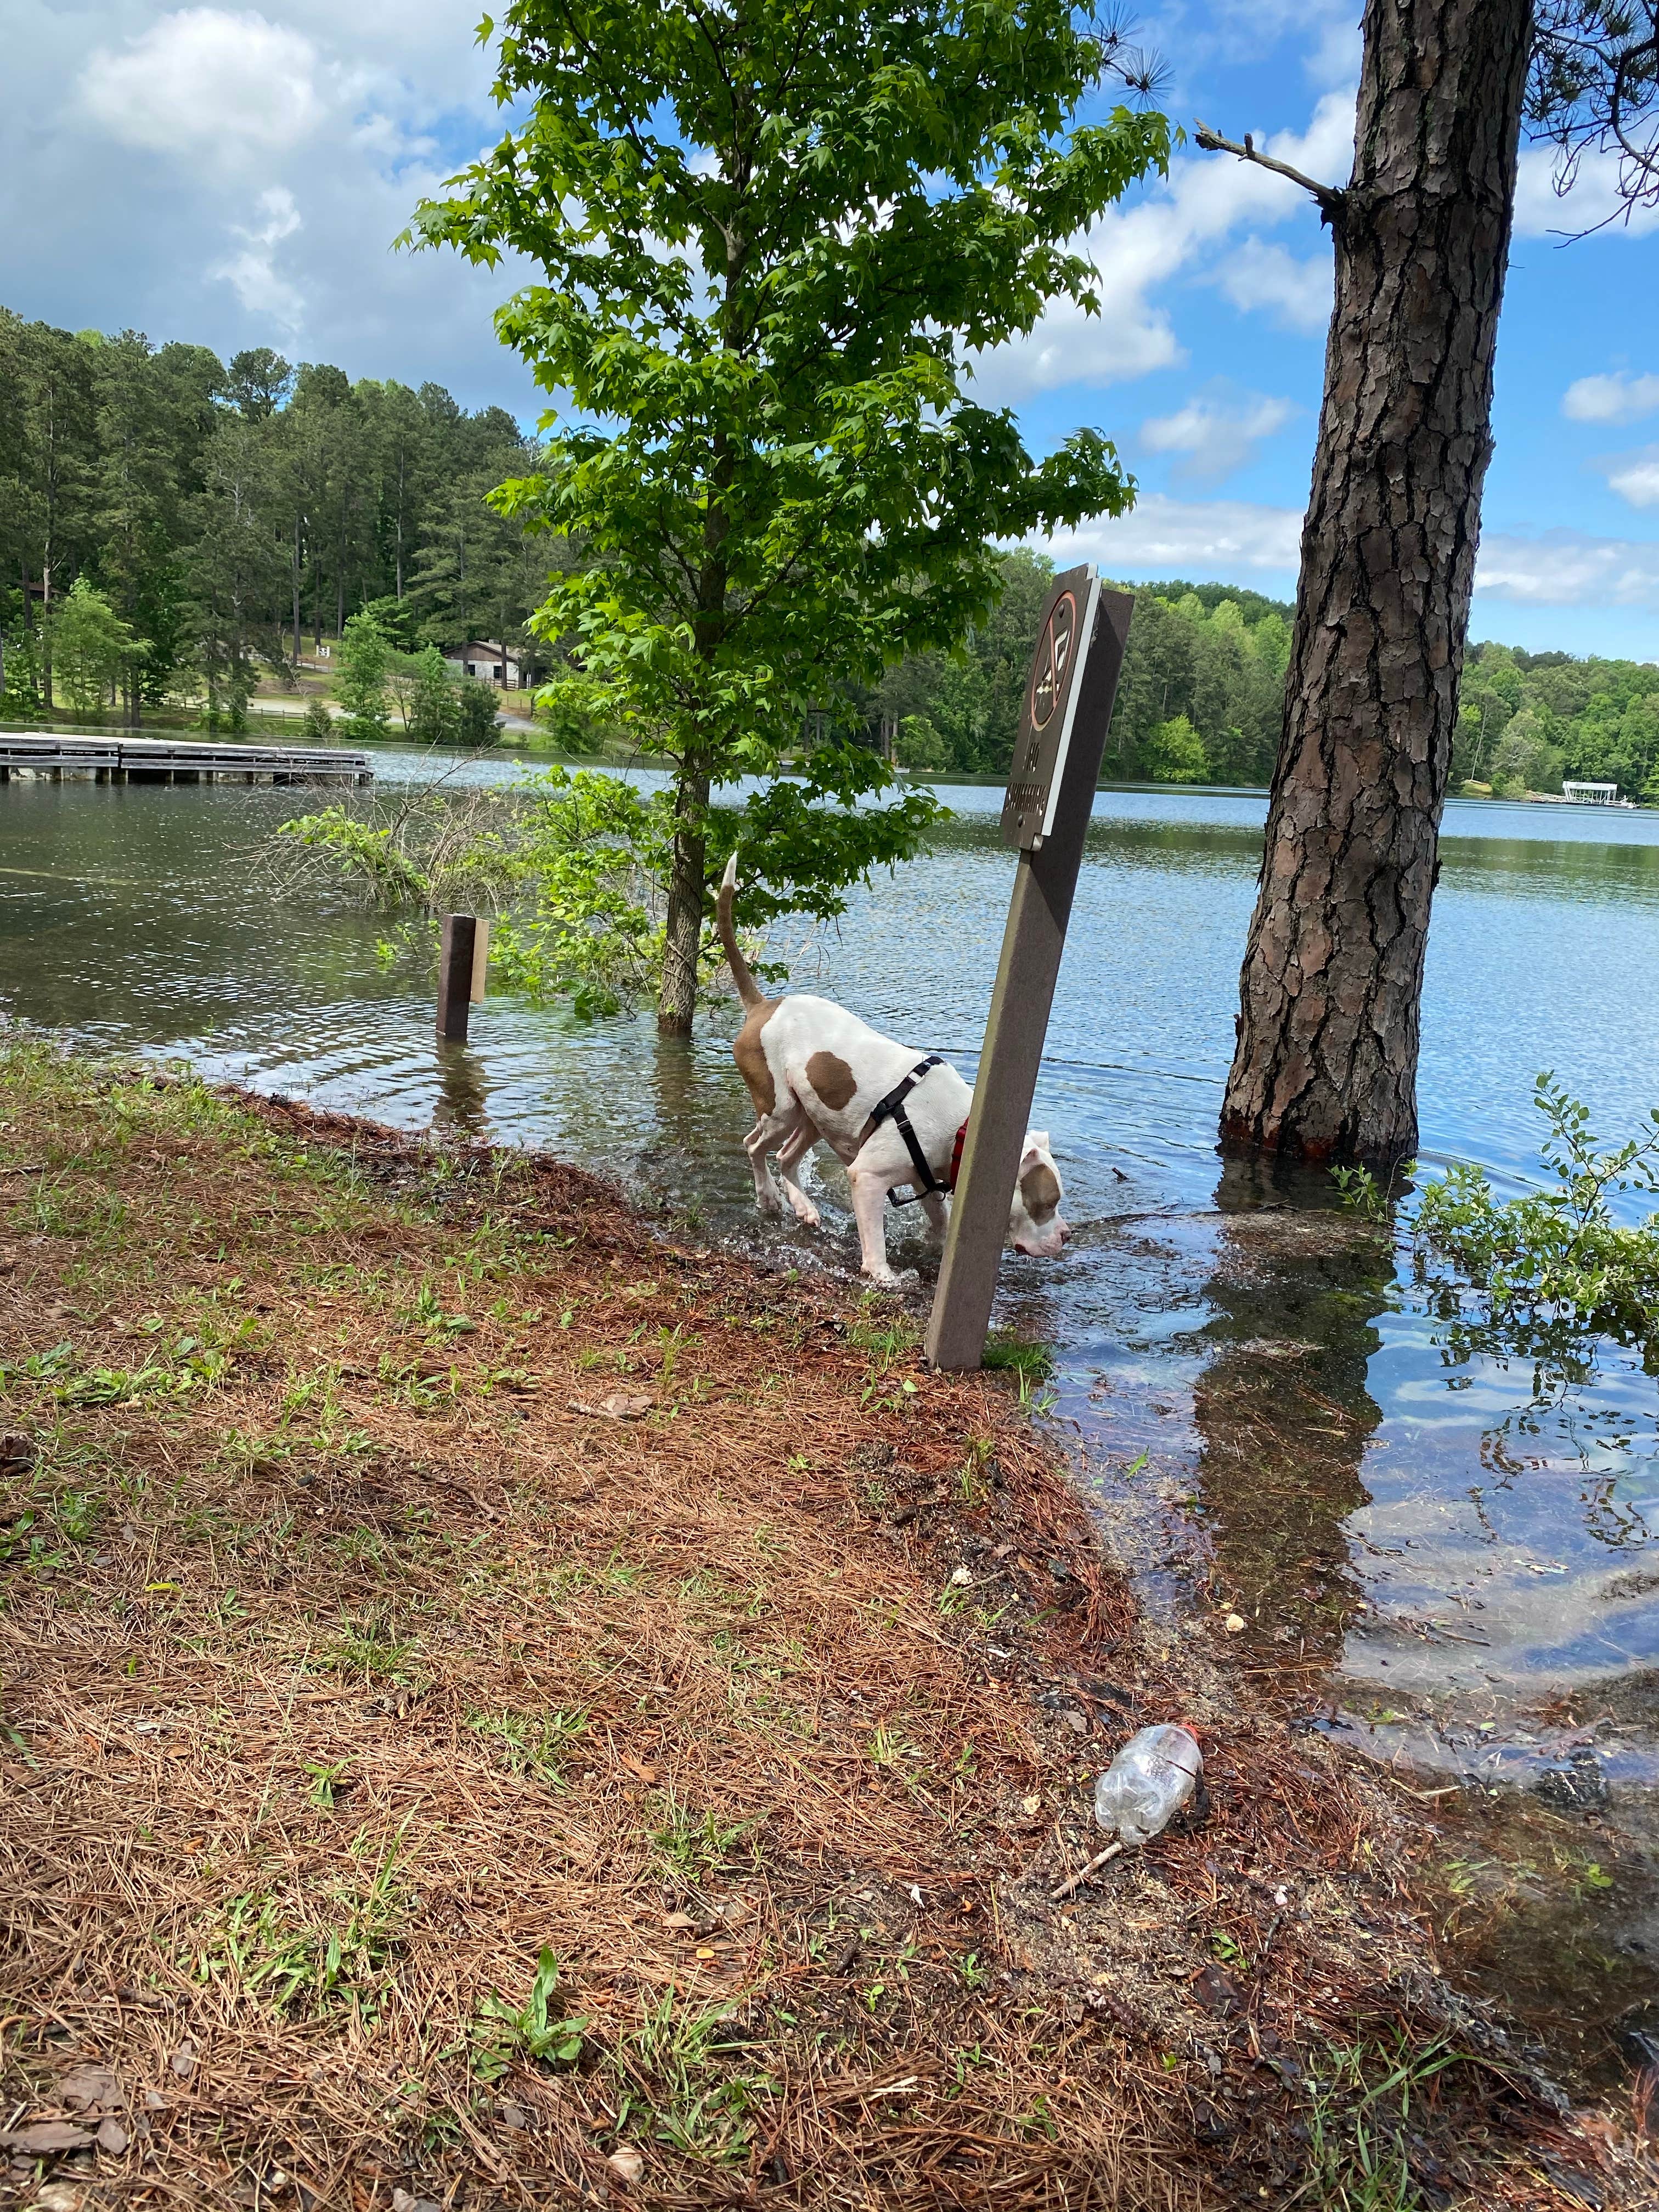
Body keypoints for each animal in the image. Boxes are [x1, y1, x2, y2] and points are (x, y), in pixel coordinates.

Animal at [721, 854, 1070, 1291]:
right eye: (1047, 1202)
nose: (1067, 1235)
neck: (961, 1130)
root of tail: (764, 1006)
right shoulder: (868, 1177)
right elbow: (875, 1237)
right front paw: (883, 1275)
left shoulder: (925, 1180)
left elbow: (940, 1219)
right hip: (780, 1108)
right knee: (755, 1146)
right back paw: (769, 1198)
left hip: (815, 1114)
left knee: (786, 1156)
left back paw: (803, 1207)